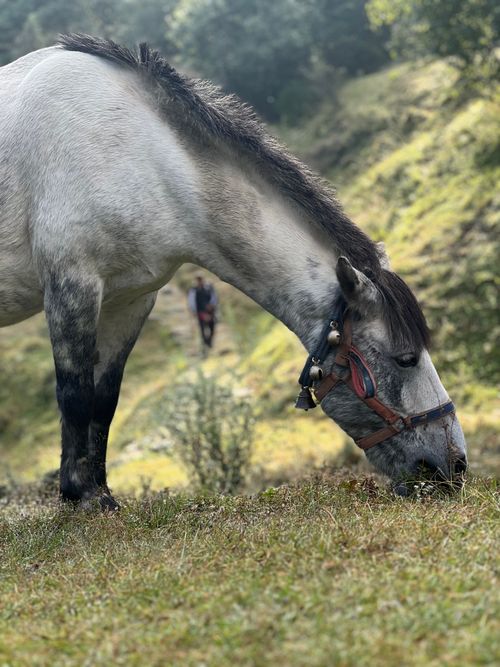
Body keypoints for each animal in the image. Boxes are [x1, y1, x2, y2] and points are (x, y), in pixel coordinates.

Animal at [0, 35, 467, 509]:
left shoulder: (130, 300)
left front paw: (102, 493)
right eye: (405, 358)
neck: (138, 153)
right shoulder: (72, 285)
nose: (454, 465)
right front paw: (80, 495)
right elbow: (75, 394)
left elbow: (104, 399)